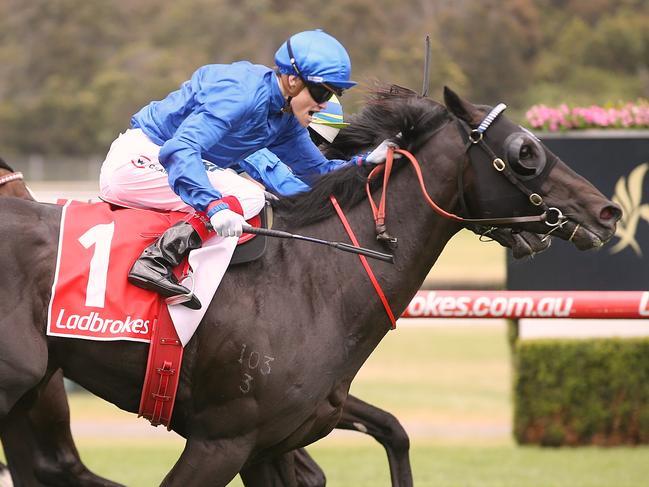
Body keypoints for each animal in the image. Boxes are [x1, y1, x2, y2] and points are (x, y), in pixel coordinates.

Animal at [0, 88, 620, 487]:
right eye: (525, 152)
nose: (606, 210)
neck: (315, 277)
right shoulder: (221, 440)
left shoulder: (271, 443)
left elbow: (391, 435)